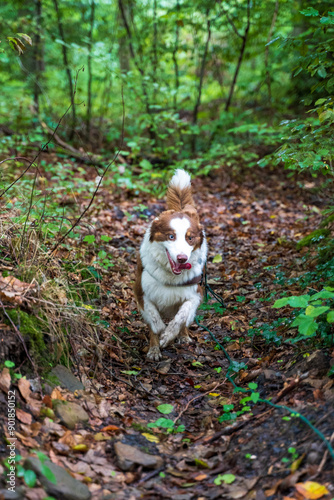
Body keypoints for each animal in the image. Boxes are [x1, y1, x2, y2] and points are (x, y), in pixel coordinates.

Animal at [134, 170, 207, 362]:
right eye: (171, 236)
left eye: (190, 238)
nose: (182, 259)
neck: (171, 275)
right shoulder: (141, 291)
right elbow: (153, 318)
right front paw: (158, 338)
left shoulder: (196, 293)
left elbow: (181, 316)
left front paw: (169, 335)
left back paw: (183, 336)